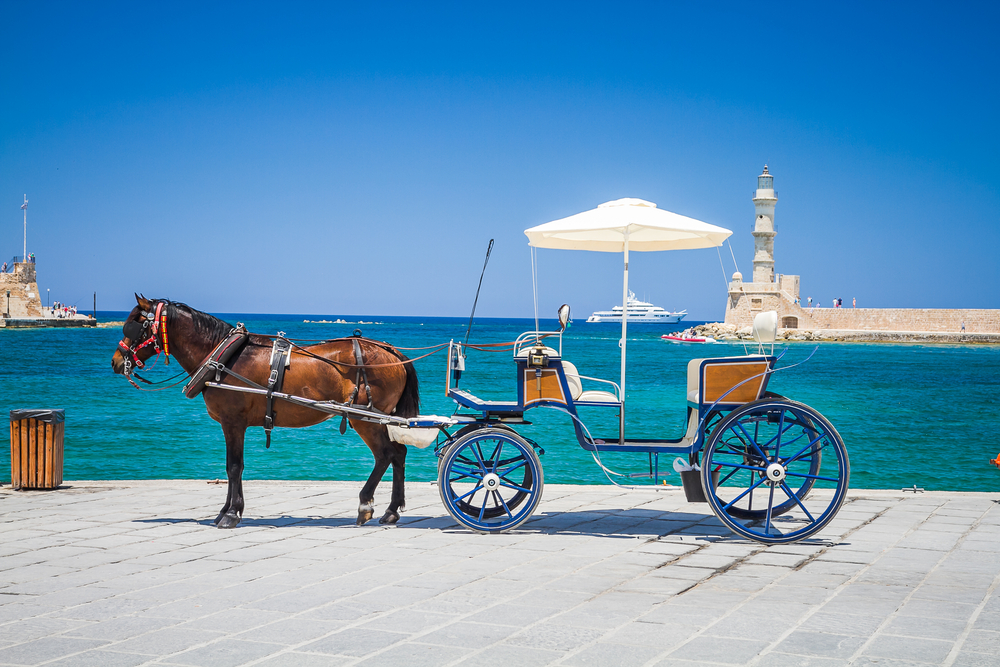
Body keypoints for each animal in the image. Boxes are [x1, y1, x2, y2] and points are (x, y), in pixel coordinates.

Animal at [112, 294, 418, 528]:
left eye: (133, 326)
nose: (116, 360)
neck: (223, 358)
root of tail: (393, 352)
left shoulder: (233, 422)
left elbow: (234, 466)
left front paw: (231, 514)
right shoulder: (232, 424)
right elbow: (231, 467)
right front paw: (225, 511)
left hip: (365, 418)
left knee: (385, 455)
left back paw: (366, 505)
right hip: (377, 418)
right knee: (398, 454)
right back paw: (392, 510)